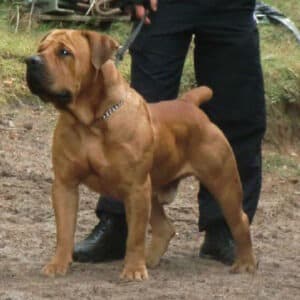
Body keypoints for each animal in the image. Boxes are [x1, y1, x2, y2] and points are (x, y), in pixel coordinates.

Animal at [25, 29, 255, 280]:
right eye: (40, 49)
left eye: (64, 52)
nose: (31, 61)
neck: (91, 122)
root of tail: (190, 104)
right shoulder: (65, 185)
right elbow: (64, 231)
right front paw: (57, 265)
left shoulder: (135, 188)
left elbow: (135, 236)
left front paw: (134, 270)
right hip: (153, 190)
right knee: (165, 228)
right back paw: (150, 260)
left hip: (223, 183)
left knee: (240, 221)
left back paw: (245, 263)